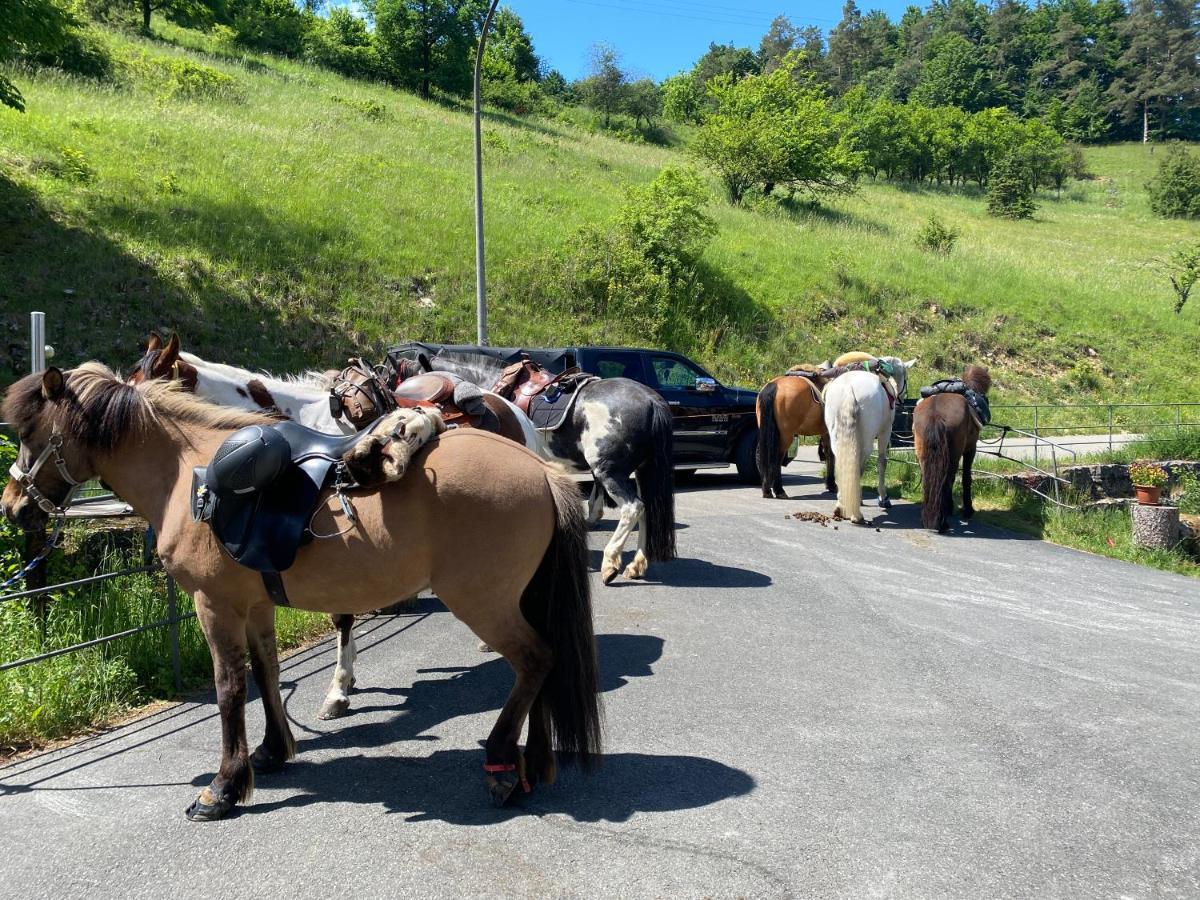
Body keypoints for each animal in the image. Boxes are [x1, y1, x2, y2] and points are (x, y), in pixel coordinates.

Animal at [0, 362, 600, 820]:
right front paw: (272, 750)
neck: (191, 471)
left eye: (29, 435)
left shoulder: (215, 606)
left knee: (535, 661)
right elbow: (266, 672)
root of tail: (541, 471)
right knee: (541, 666)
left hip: (485, 604)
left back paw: (502, 765)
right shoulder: (256, 605)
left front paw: (223, 786)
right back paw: (534, 762)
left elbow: (228, 688)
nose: (14, 507)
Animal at [748, 367, 835, 508]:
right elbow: (831, 456)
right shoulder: (829, 433)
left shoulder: (825, 433)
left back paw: (767, 490)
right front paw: (832, 485)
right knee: (777, 459)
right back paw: (779, 490)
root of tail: (774, 385)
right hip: (786, 436)